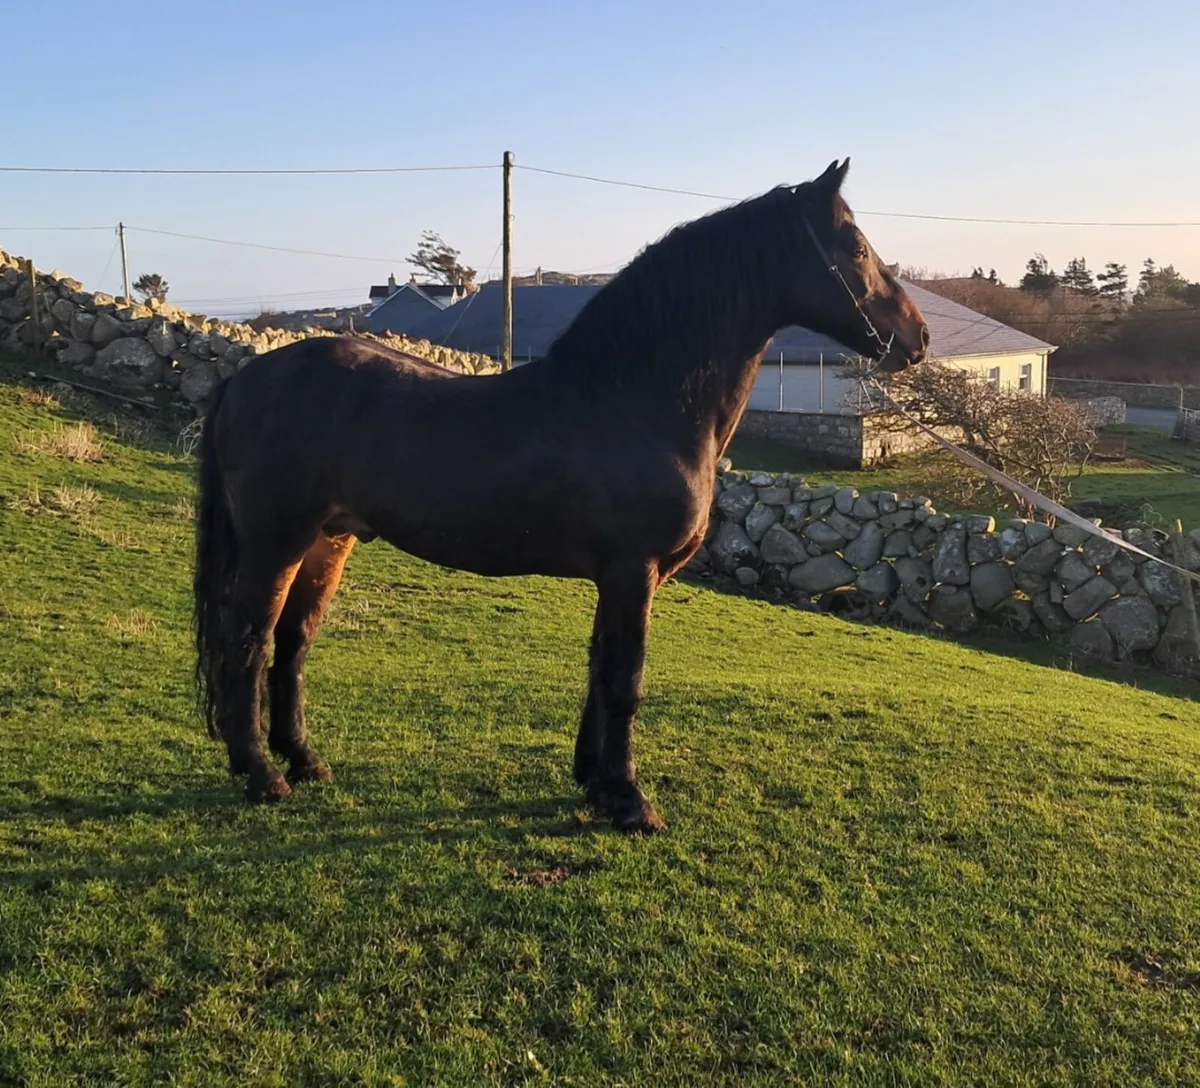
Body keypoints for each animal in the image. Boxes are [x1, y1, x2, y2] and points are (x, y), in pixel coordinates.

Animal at [193, 158, 929, 833]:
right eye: (855, 247)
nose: (919, 338)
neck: (631, 400)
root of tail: (248, 376)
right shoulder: (633, 571)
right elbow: (625, 679)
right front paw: (630, 803)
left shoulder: (621, 576)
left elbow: (600, 669)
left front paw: (594, 781)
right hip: (276, 541)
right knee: (248, 640)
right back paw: (260, 774)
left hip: (330, 540)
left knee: (294, 640)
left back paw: (303, 760)